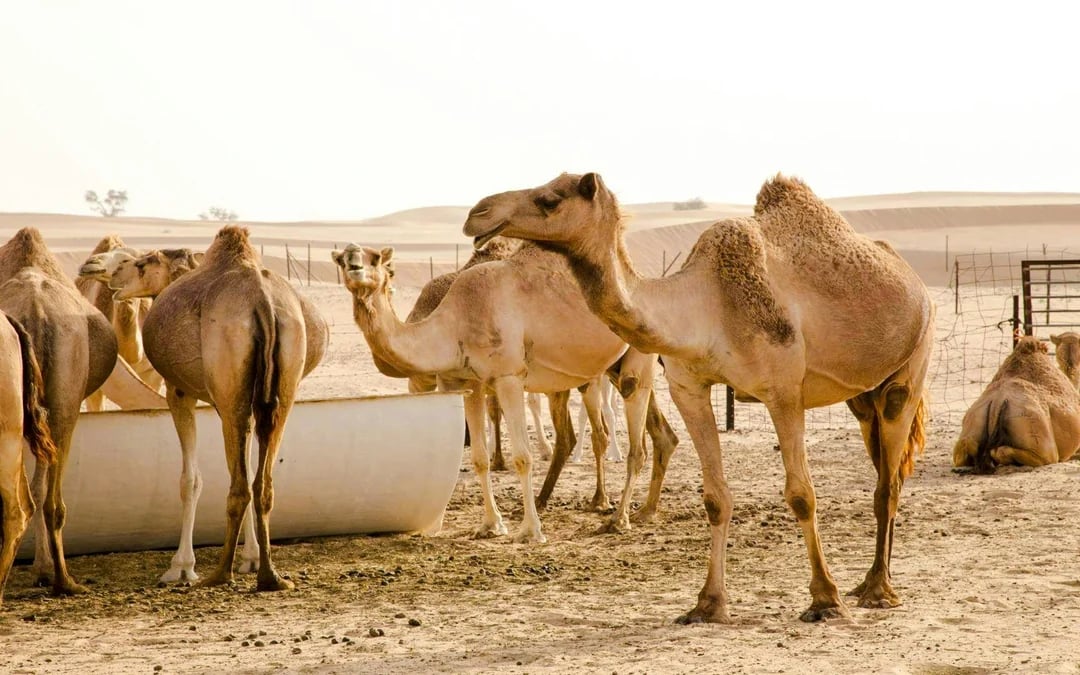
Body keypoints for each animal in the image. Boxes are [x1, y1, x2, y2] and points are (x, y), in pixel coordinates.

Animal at [0, 228, 118, 595]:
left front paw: (39, 569)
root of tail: (36, 310)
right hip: (66, 399)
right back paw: (64, 580)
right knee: (52, 500)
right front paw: (43, 569)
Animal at [109, 229, 329, 589]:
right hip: (282, 388)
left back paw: (219, 574)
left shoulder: (178, 391)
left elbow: (190, 479)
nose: (114, 275)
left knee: (239, 484)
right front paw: (251, 558)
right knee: (261, 482)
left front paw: (181, 567)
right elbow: (248, 469)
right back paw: (270, 576)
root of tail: (262, 302)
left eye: (144, 262)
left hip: (230, 390)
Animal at [332, 241, 677, 542]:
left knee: (637, 443)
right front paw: (490, 525)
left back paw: (618, 519)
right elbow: (479, 458)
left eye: (377, 259)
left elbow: (523, 457)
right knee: (655, 433)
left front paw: (531, 531)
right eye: (341, 260)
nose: (354, 264)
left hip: (637, 359)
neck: (454, 323)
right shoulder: (466, 384)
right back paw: (642, 511)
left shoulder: (508, 376)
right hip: (613, 368)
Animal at [463, 172, 934, 623]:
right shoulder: (688, 388)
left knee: (888, 481)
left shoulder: (783, 392)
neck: (706, 307)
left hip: (910, 369)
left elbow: (802, 494)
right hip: (863, 398)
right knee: (884, 468)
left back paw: (878, 590)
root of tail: (915, 282)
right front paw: (707, 604)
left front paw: (824, 599)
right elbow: (715, 498)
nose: (476, 213)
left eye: (550, 199)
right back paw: (869, 581)